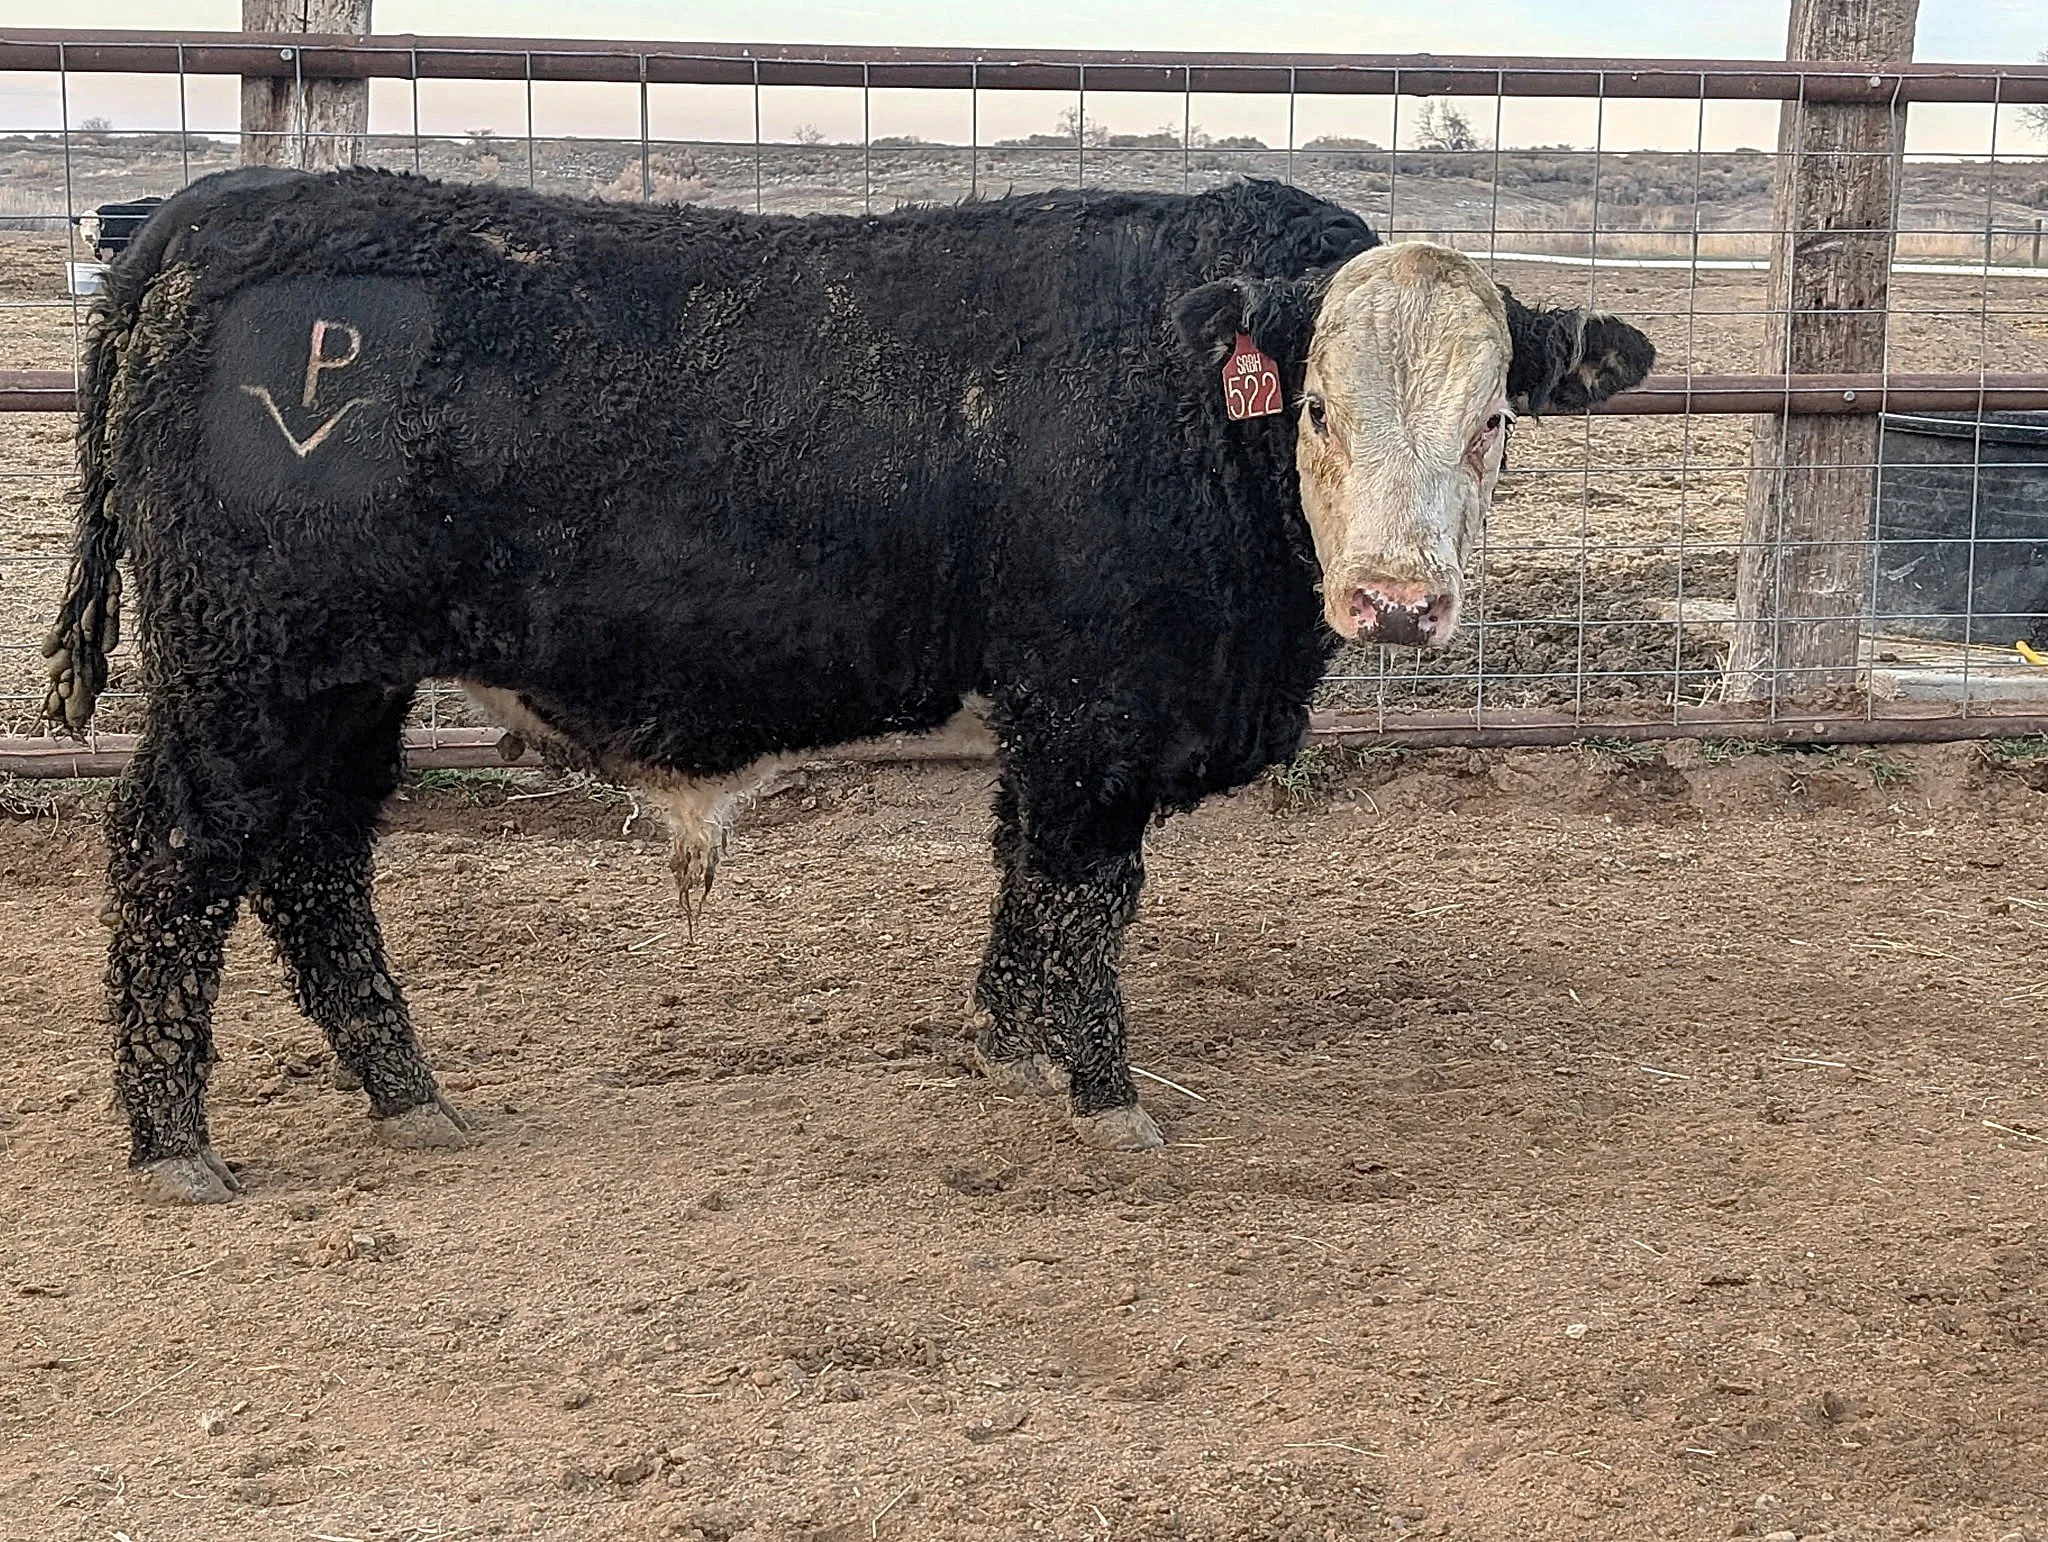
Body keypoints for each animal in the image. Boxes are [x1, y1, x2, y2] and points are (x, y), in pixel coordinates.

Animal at [41, 167, 1653, 1202]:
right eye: (1314, 404)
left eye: (1495, 418)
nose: (1397, 601)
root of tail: (214, 210)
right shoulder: (1097, 706)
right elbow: (1085, 887)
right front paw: (1106, 1098)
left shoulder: (1047, 711)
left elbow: (1028, 878)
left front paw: (1010, 1053)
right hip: (249, 670)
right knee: (178, 856)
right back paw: (175, 1145)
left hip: (345, 683)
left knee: (315, 861)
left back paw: (408, 1098)